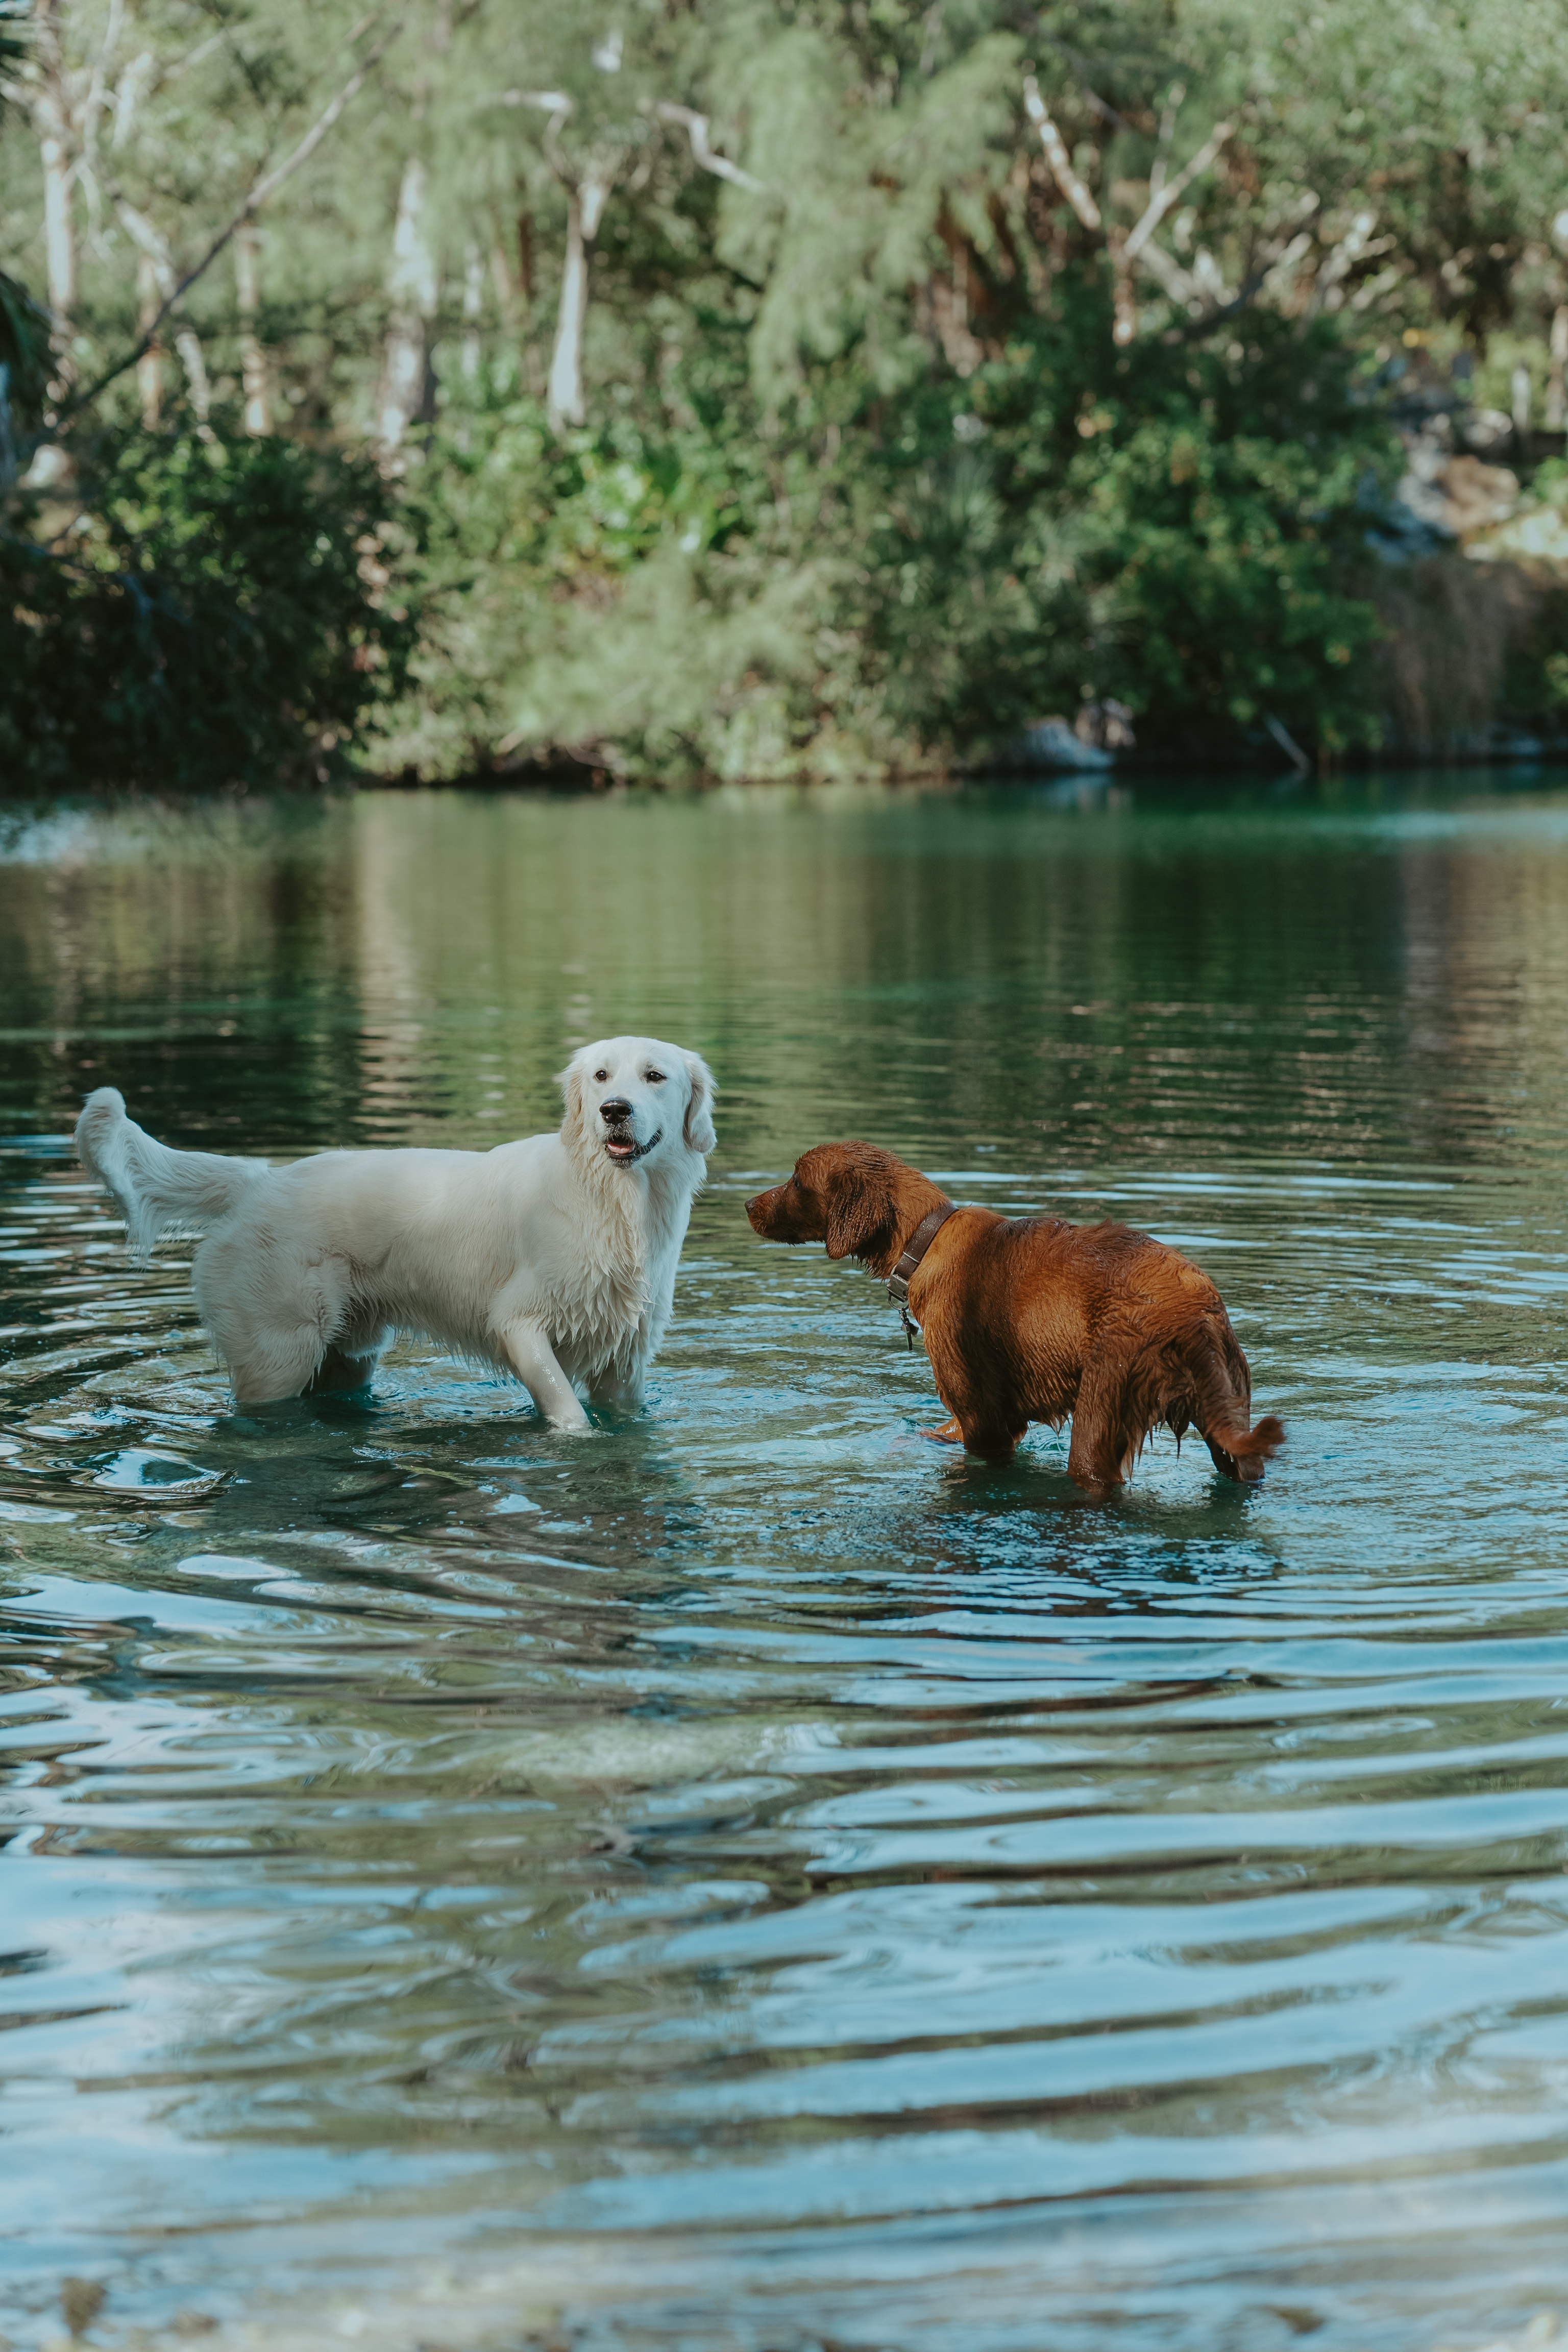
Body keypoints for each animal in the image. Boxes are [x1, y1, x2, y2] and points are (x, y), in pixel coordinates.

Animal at [78, 1039, 719, 1420]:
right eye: (602, 1076)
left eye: (655, 1076)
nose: (614, 1110)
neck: (613, 1202)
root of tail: (256, 1181)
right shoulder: (519, 1324)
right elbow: (567, 1411)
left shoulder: (626, 1358)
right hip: (278, 1353)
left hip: (348, 1354)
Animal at [752, 1143, 1288, 1505]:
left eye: (797, 1181)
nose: (748, 1205)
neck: (923, 1242)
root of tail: (1194, 1311)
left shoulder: (984, 1416)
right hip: (1226, 1410)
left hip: (1103, 1403)